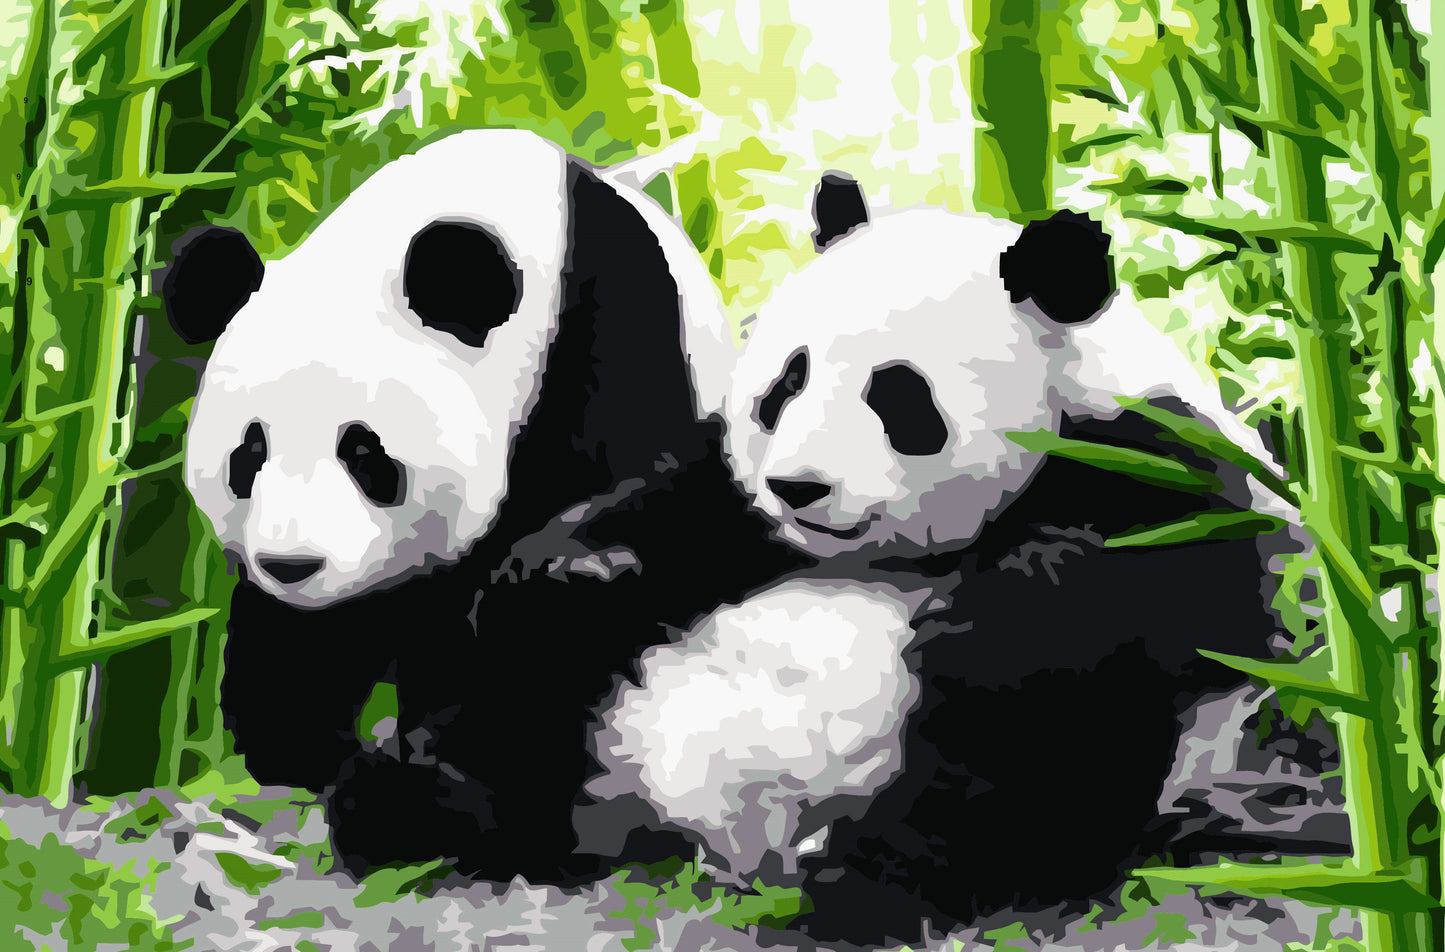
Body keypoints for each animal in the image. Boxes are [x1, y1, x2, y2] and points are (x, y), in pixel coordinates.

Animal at [160, 128, 793, 881]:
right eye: (248, 454)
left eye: (364, 453)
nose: (292, 565)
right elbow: (311, 641)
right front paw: (302, 752)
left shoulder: (611, 341)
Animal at [589, 178, 1295, 942]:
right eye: (786, 384)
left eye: (896, 395)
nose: (796, 488)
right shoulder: (726, 508)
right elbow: (662, 520)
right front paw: (597, 564)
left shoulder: (1155, 466)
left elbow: (1140, 609)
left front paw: (1010, 606)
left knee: (1017, 770)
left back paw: (857, 894)